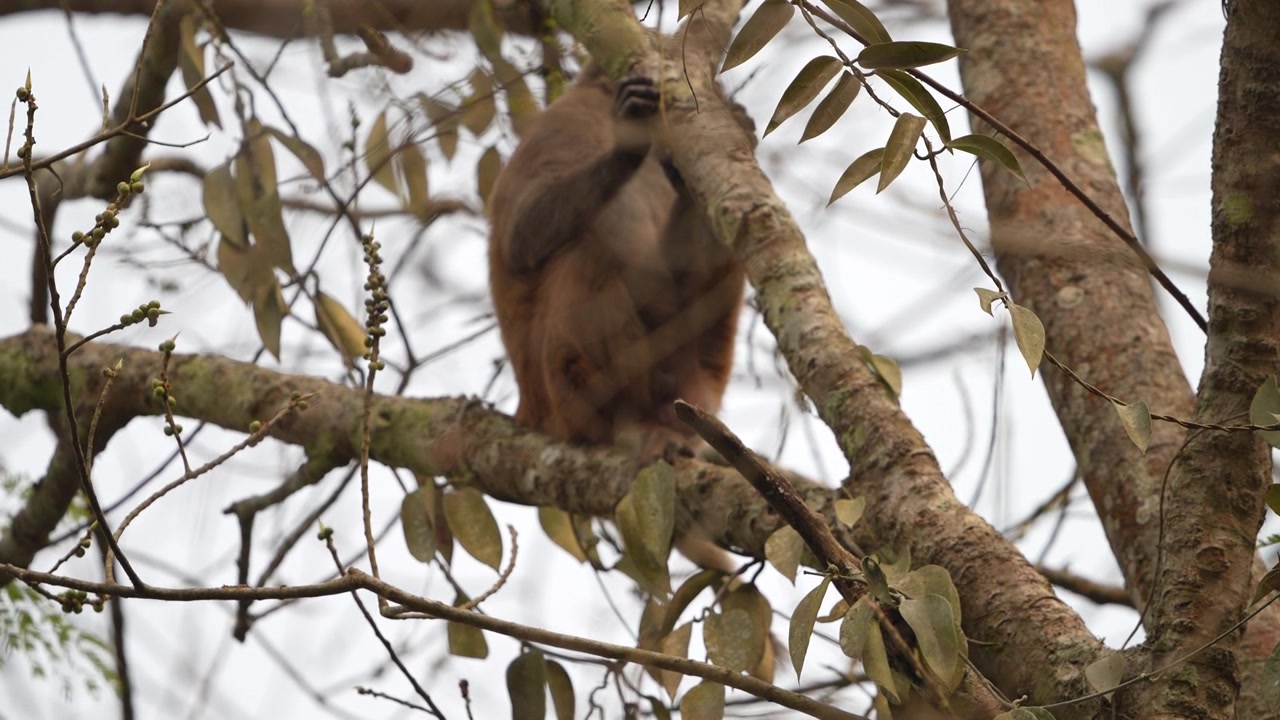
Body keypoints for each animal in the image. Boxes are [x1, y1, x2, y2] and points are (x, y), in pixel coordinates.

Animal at [487, 61, 756, 464]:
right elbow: (521, 236)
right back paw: (624, 420)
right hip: (557, 400)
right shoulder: (567, 120)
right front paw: (628, 145)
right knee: (588, 258)